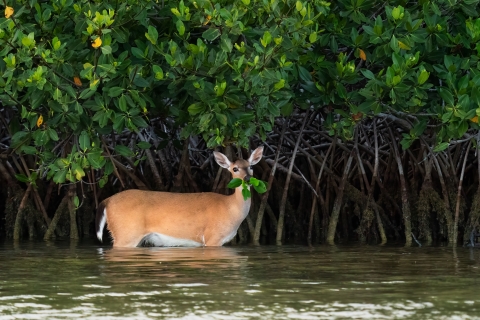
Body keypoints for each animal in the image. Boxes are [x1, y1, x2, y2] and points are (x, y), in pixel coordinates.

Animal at [95, 146, 264, 248]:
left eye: (251, 166)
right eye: (235, 169)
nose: (248, 178)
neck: (230, 208)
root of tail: (107, 201)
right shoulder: (213, 237)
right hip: (126, 233)